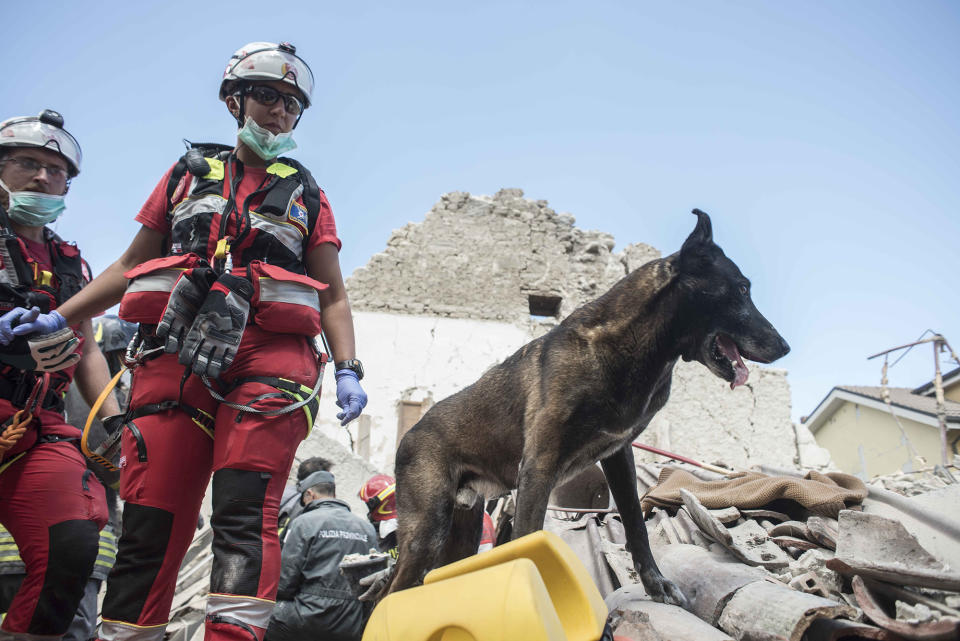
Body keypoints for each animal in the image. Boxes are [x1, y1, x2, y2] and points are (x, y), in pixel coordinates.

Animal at [386, 210, 792, 604]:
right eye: (742, 288)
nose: (785, 346)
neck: (633, 345)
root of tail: (410, 434)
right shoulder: (538, 467)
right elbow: (527, 543)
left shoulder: (619, 456)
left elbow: (636, 525)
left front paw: (656, 584)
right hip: (428, 529)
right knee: (392, 592)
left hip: (461, 537)